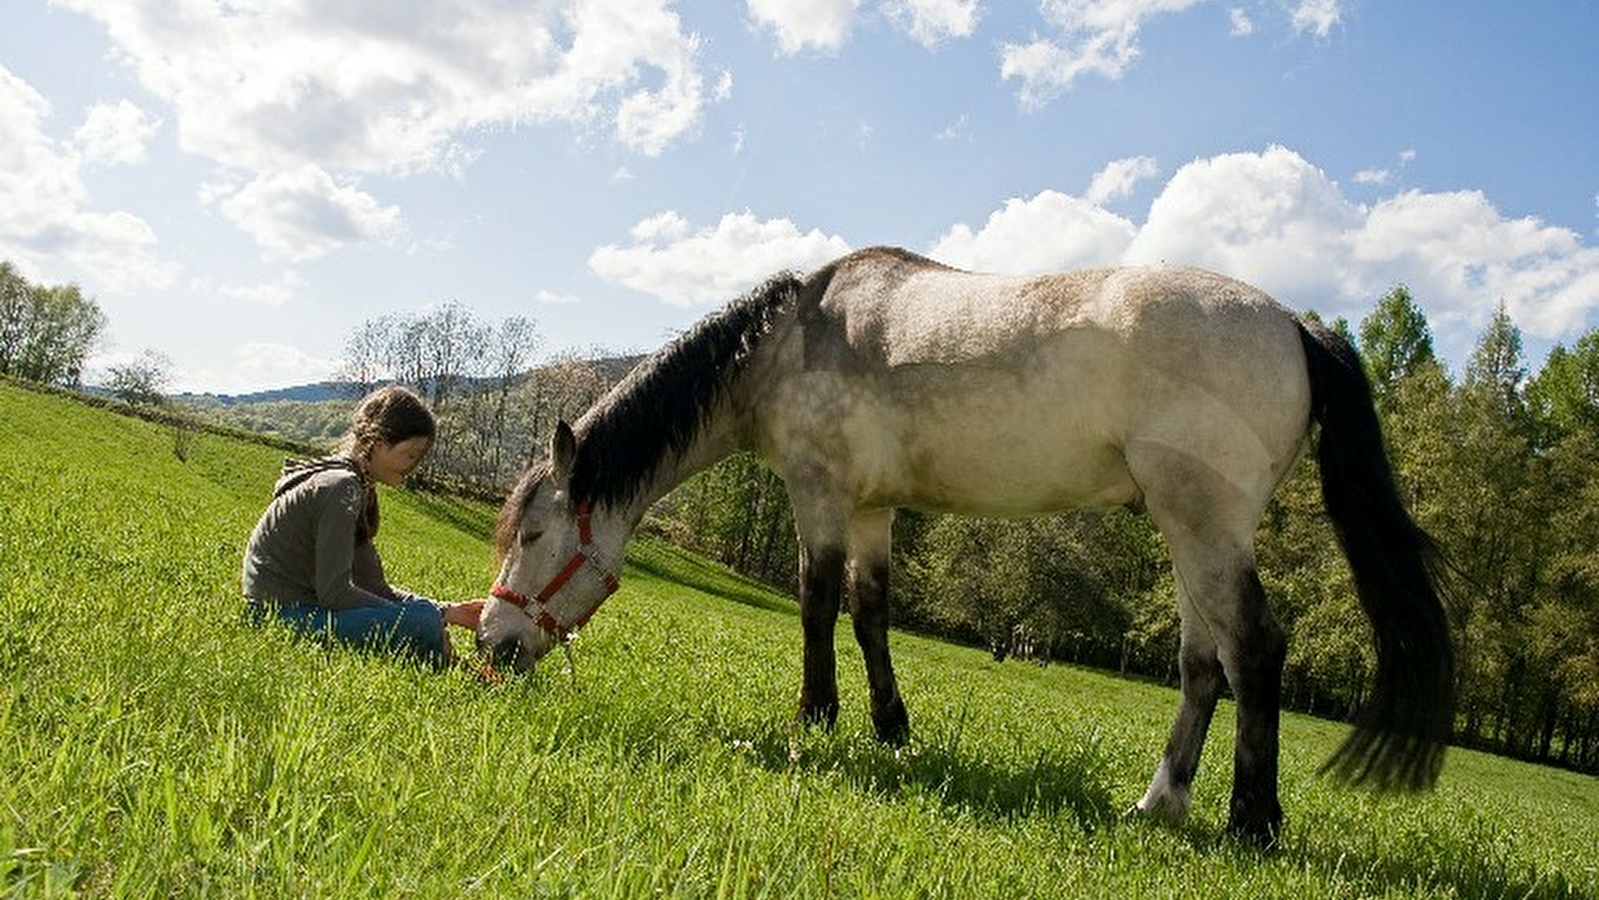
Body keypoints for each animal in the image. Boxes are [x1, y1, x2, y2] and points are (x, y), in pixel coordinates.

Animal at [479, 242, 1458, 844]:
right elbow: (869, 613)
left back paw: (1251, 819)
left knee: (1253, 652)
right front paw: (889, 730)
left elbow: (815, 604)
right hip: (1187, 532)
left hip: (1203, 523)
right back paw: (1159, 803)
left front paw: (813, 720)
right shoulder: (872, 509)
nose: (490, 642)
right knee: (1200, 666)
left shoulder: (818, 493)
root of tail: (1297, 324)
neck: (790, 341)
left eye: (532, 532)